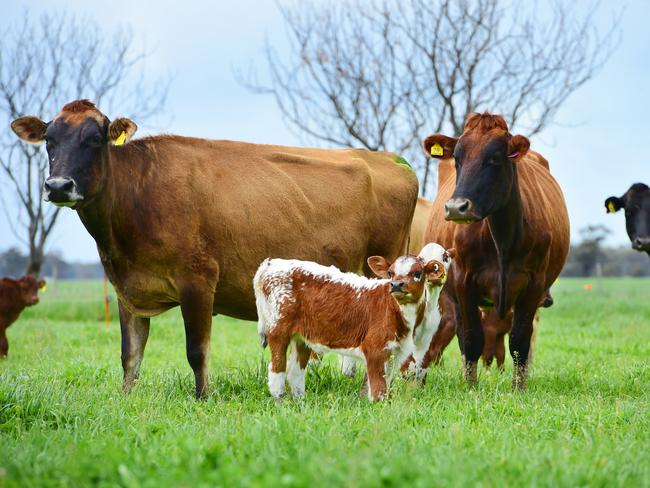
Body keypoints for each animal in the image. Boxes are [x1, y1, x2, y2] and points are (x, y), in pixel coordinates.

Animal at [12, 98, 418, 396]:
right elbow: (131, 355)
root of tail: (390, 159)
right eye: (49, 140)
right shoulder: (127, 290)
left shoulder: (198, 280)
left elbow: (197, 350)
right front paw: (126, 398)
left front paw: (203, 398)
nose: (58, 186)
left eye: (94, 140)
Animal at [253, 254, 446, 402]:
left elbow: (376, 384)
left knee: (295, 372)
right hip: (278, 329)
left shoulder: (394, 353)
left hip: (302, 337)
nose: (396, 285)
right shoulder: (374, 348)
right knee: (277, 369)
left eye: (417, 273)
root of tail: (270, 264)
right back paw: (280, 400)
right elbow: (378, 391)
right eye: (391, 273)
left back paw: (300, 401)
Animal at [420, 113, 568, 388]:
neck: (502, 239)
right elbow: (471, 339)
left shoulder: (533, 285)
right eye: (457, 158)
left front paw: (518, 388)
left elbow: (520, 341)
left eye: (495, 158)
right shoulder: (463, 282)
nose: (457, 207)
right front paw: (470, 387)